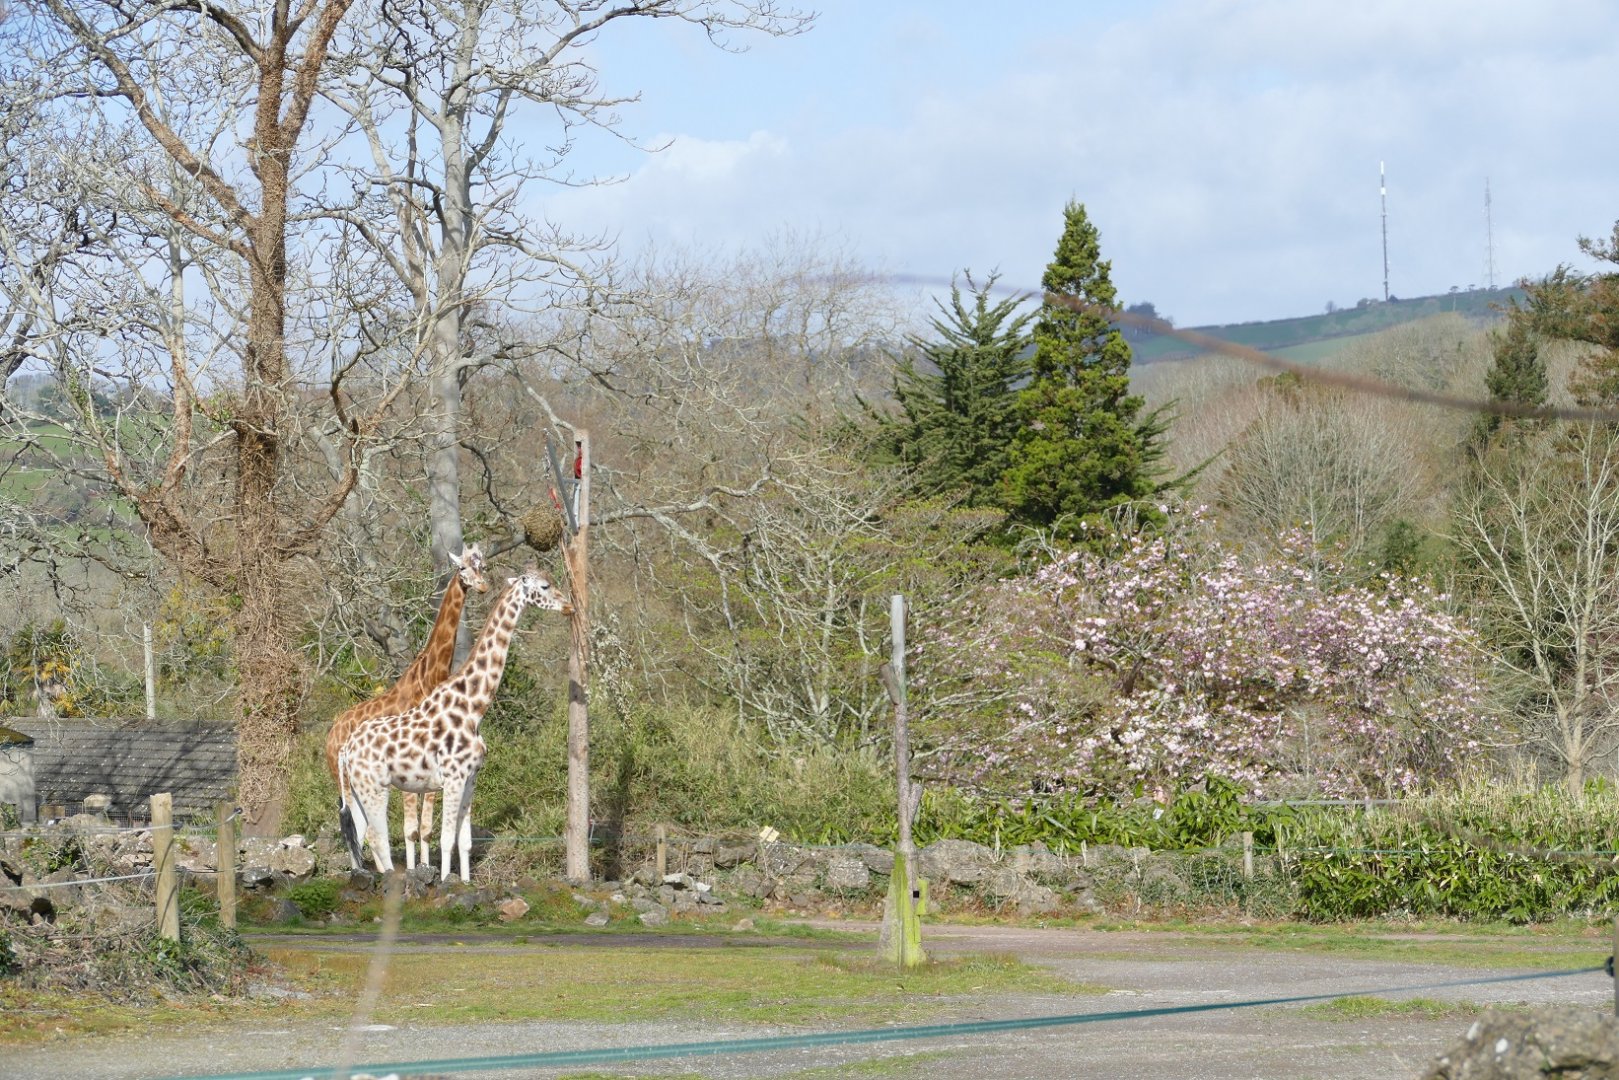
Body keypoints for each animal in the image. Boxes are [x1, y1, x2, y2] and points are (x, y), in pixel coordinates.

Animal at [327, 544, 488, 872]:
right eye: (462, 568)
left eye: (484, 566)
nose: (482, 586)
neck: (428, 677)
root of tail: (330, 736)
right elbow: (411, 829)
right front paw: (417, 871)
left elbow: (424, 828)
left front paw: (426, 868)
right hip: (345, 781)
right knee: (356, 829)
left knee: (358, 828)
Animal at [338, 566, 572, 882]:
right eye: (545, 586)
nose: (569, 606)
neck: (474, 708)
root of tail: (346, 750)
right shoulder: (453, 777)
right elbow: (445, 838)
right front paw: (444, 880)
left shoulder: (471, 778)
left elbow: (465, 841)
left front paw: (464, 882)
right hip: (374, 786)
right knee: (378, 838)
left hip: (357, 791)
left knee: (360, 835)